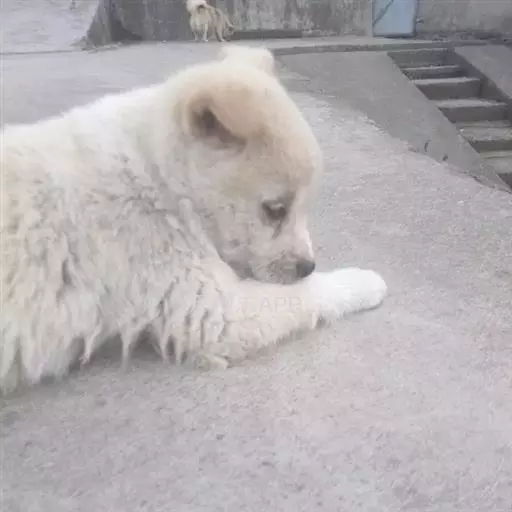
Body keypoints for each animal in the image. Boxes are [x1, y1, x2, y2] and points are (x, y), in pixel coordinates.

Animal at [0, 45, 387, 394]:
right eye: (275, 209)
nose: (307, 265)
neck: (159, 178)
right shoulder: (207, 304)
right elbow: (305, 294)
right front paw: (365, 282)